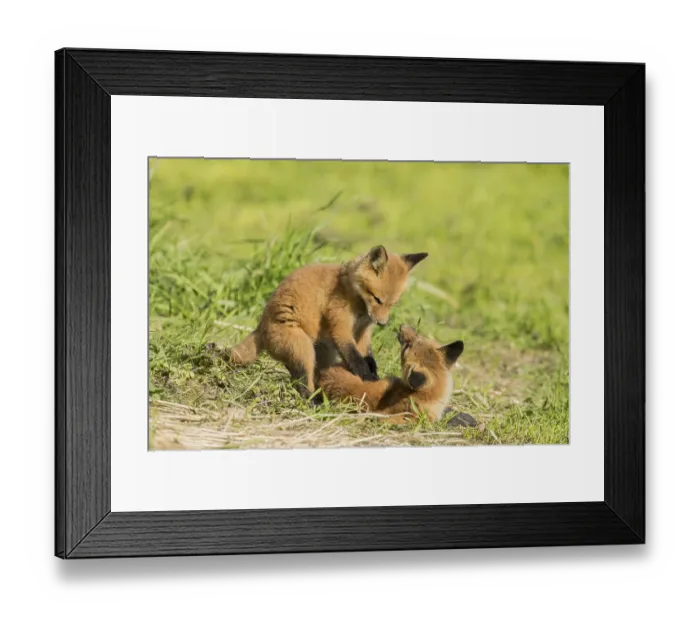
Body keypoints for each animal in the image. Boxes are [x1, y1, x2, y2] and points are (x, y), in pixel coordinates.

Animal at [220, 246, 428, 399]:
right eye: (377, 299)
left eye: (393, 303)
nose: (383, 323)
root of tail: (261, 327)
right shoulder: (340, 325)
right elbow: (355, 358)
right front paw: (368, 379)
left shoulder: (363, 331)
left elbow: (367, 357)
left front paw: (374, 376)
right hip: (303, 349)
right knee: (301, 382)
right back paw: (312, 401)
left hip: (323, 355)